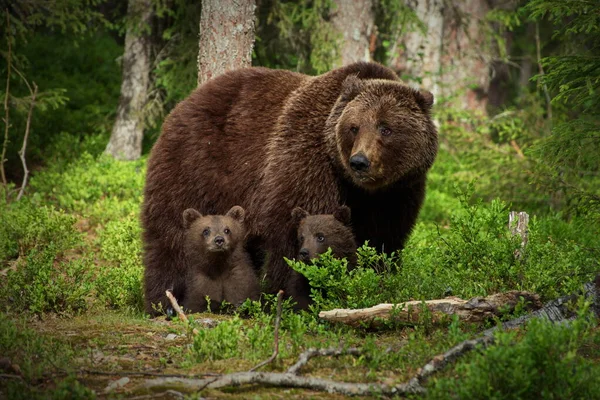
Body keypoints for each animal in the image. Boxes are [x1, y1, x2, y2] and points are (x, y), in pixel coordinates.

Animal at [143, 62, 438, 314]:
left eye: (385, 128)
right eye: (354, 127)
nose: (359, 162)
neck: (359, 188)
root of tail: (186, 100)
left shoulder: (398, 193)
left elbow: (383, 242)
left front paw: (376, 286)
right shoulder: (307, 163)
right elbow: (291, 230)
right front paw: (291, 297)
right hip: (196, 163)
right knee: (170, 233)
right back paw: (164, 302)